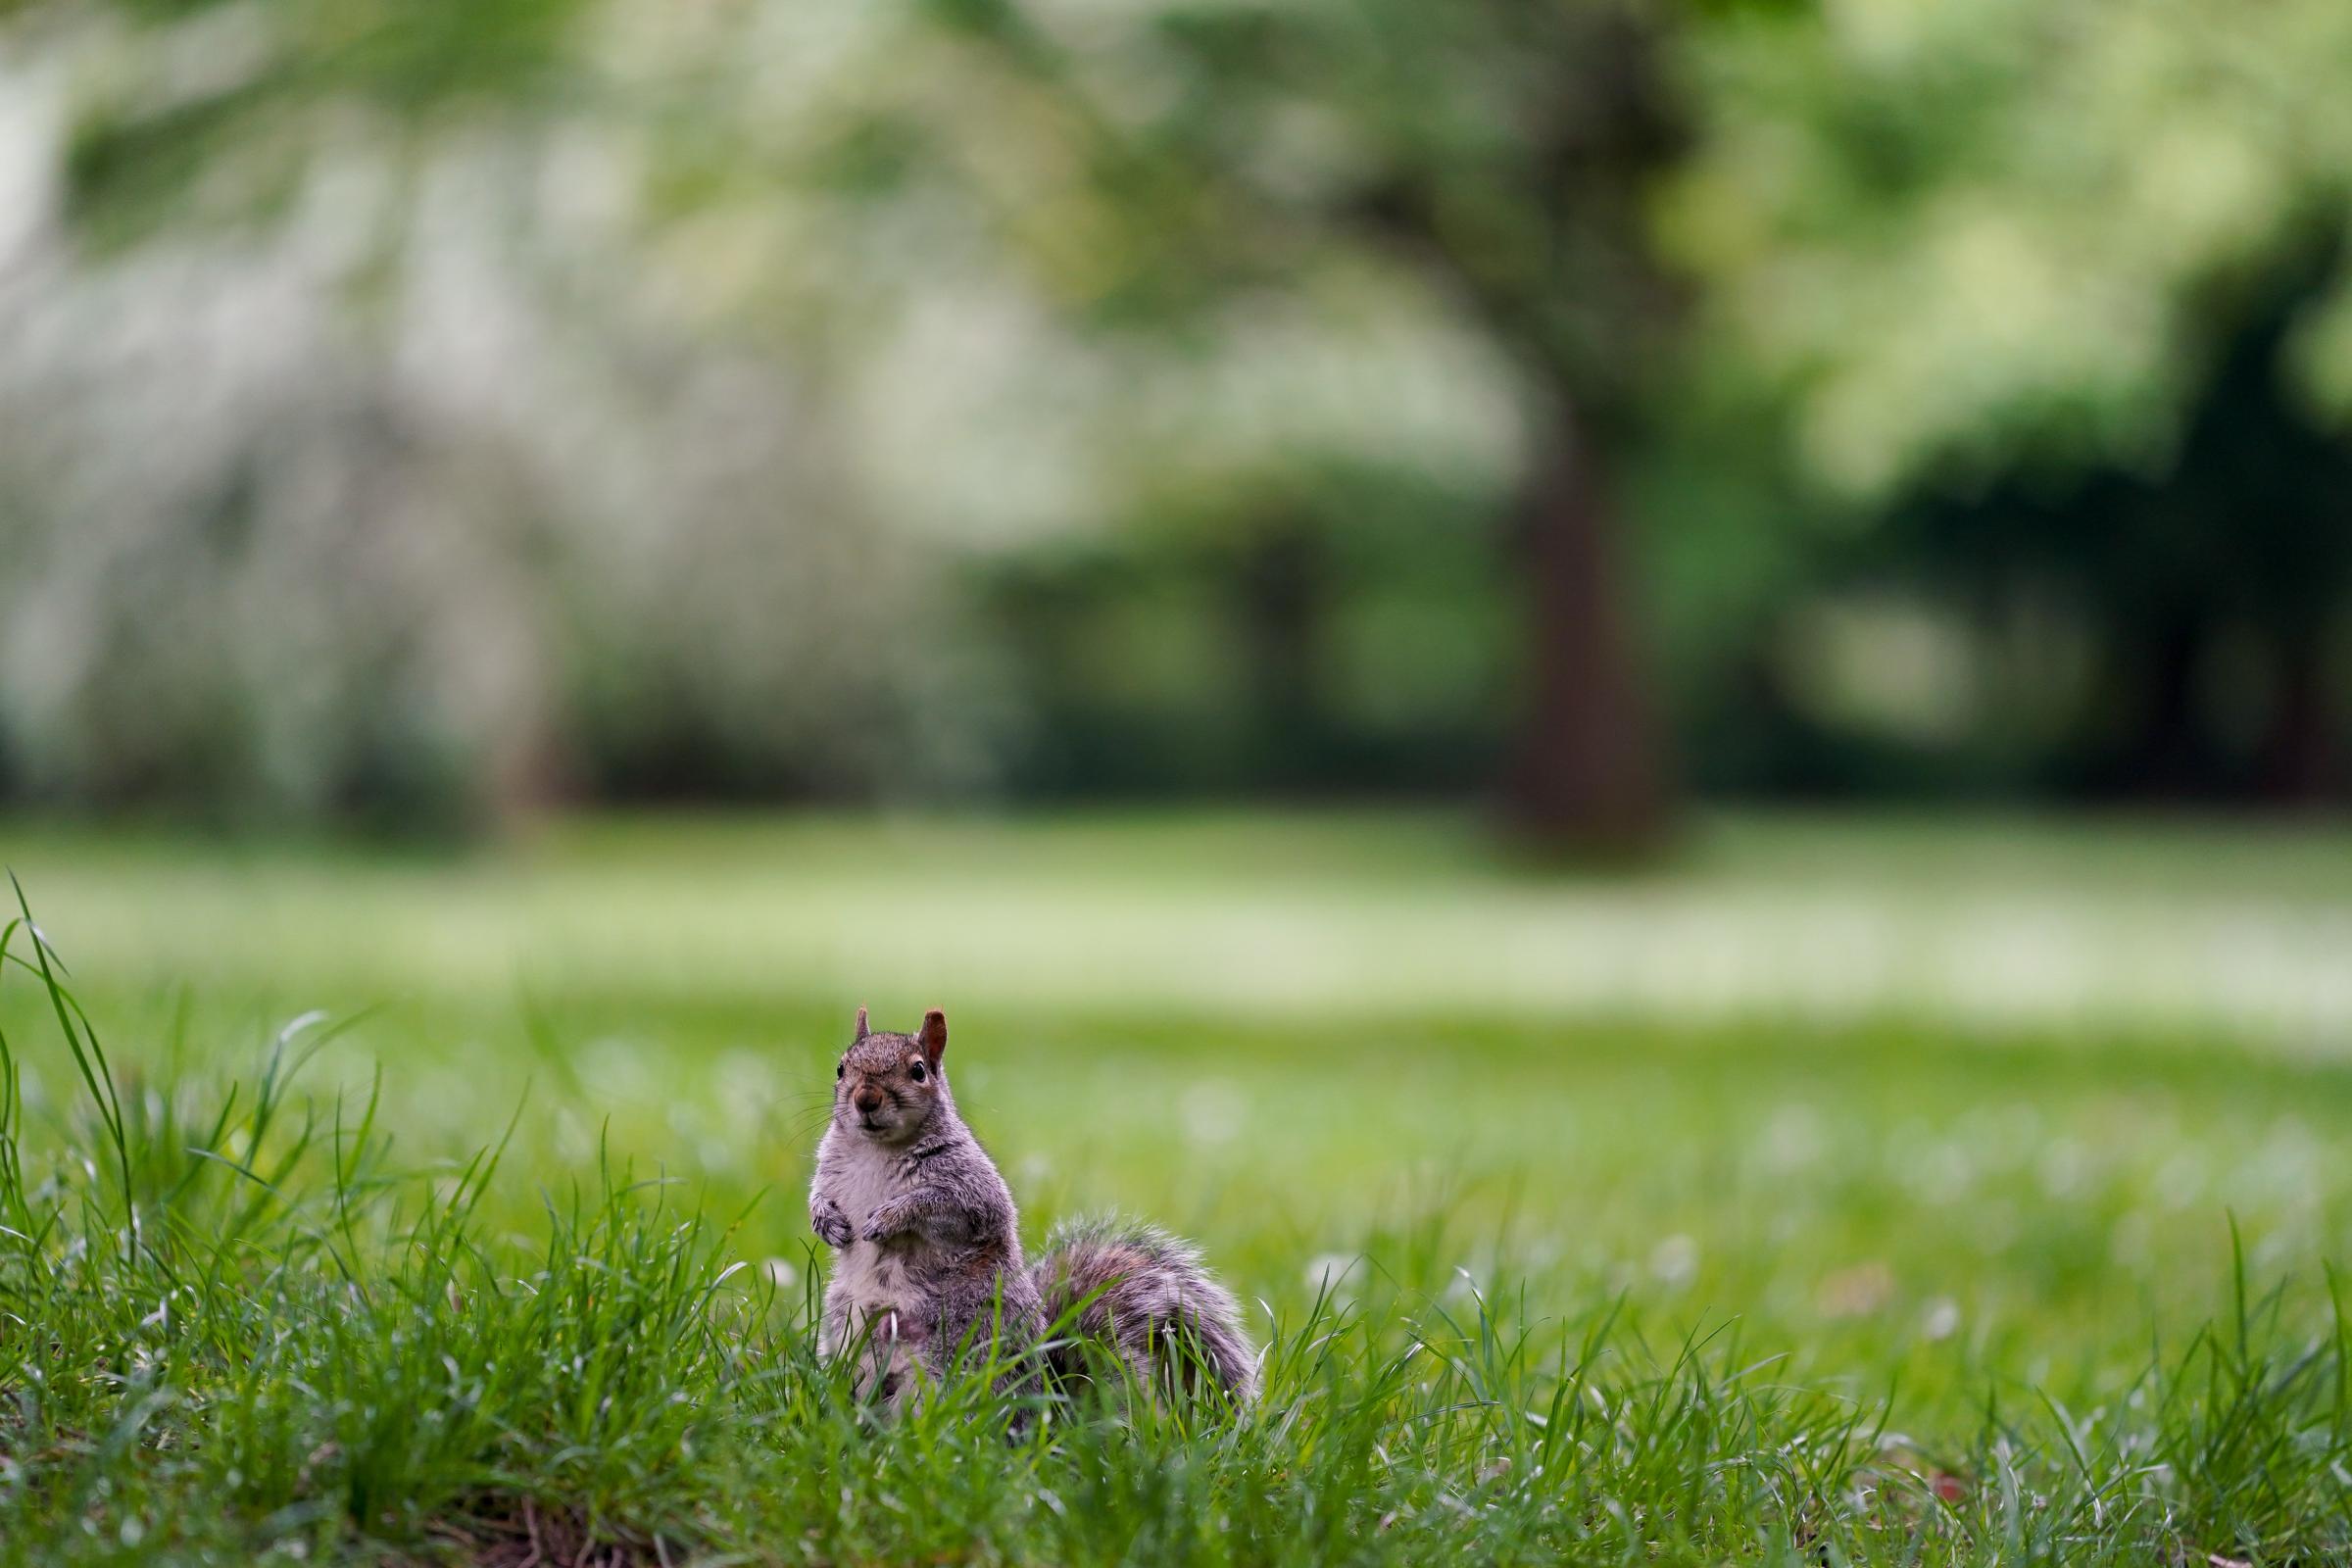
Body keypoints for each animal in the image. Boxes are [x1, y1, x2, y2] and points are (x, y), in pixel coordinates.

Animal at [808, 1010, 1260, 1419]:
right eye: (841, 1067)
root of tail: (1048, 1401)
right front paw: (825, 1222)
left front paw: (889, 1217)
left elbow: (938, 1205)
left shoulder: (971, 1192)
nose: (865, 1099)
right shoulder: (829, 1171)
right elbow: (818, 1195)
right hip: (851, 1342)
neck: (878, 1150)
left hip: (953, 1356)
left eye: (918, 1070)